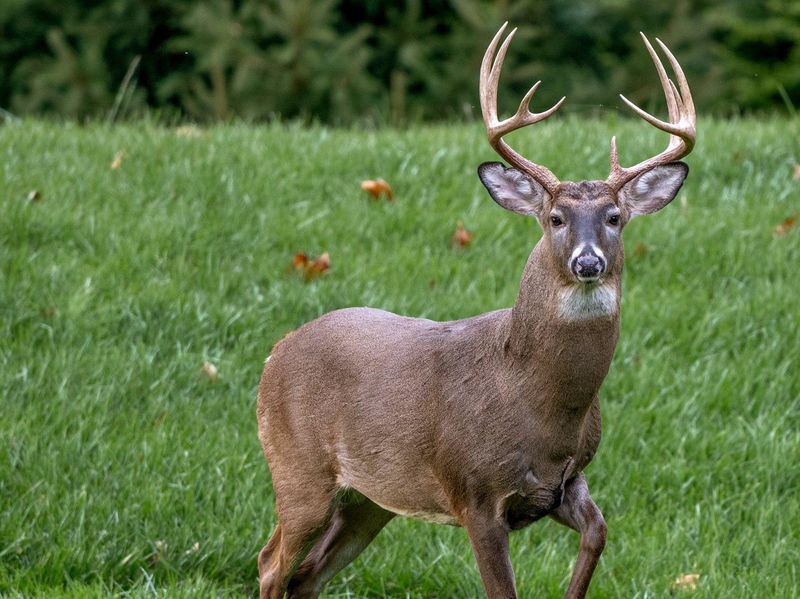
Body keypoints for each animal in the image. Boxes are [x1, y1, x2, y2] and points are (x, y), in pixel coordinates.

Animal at [255, 22, 696, 599]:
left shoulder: (566, 483)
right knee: (271, 564)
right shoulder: (475, 493)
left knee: (305, 576)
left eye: (615, 217)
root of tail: (274, 355)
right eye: (555, 217)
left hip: (369, 500)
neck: (541, 402)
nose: (587, 261)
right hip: (298, 470)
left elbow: (598, 535)